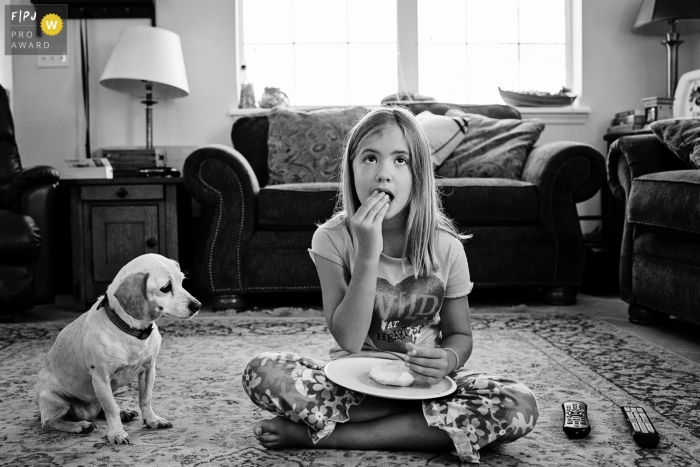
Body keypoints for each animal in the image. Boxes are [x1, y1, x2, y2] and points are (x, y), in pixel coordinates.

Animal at [36, 254, 201, 444]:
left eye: (182, 281)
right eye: (166, 288)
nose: (197, 305)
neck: (131, 331)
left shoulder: (148, 370)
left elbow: (145, 399)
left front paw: (151, 421)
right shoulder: (101, 379)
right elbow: (111, 409)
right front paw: (116, 433)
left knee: (100, 410)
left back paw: (124, 413)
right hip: (58, 402)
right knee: (50, 423)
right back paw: (80, 426)